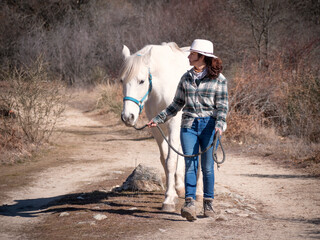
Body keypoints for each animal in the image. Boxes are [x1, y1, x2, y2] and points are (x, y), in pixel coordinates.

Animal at [120, 42, 202, 211]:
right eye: (121, 81)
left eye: (141, 81)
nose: (127, 117)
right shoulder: (156, 129)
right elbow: (165, 159)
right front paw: (173, 192)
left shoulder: (174, 125)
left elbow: (171, 160)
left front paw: (169, 199)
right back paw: (180, 187)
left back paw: (199, 193)